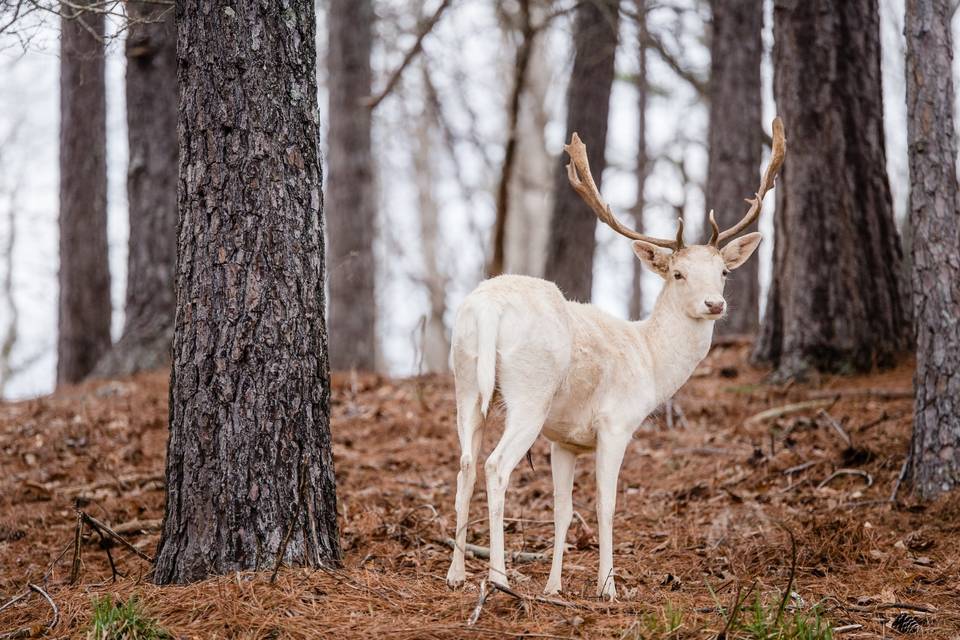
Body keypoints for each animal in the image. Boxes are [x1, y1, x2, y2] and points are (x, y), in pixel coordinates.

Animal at [446, 117, 784, 596]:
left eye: (722, 272)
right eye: (678, 273)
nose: (715, 305)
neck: (651, 361)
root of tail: (489, 307)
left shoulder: (565, 440)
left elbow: (564, 510)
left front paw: (555, 587)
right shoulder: (616, 423)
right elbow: (606, 504)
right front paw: (608, 587)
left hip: (465, 382)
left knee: (465, 465)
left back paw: (456, 573)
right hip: (531, 393)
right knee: (496, 466)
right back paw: (498, 577)